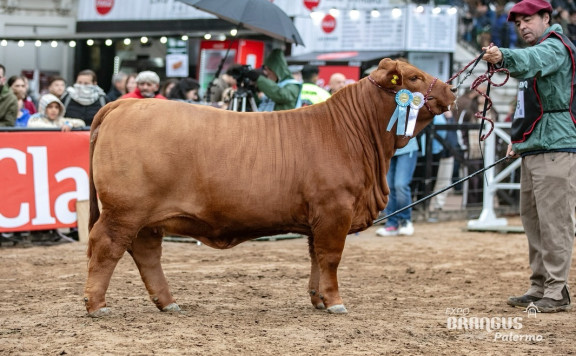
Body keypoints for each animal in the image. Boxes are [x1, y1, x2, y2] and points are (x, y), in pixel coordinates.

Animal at [84, 58, 454, 318]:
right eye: (415, 78)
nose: (451, 90)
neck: (351, 132)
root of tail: (124, 104)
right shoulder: (335, 210)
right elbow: (331, 258)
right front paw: (335, 302)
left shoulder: (319, 219)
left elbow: (316, 258)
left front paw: (318, 299)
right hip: (124, 210)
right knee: (106, 246)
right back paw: (96, 304)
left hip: (148, 217)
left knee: (147, 254)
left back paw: (168, 302)